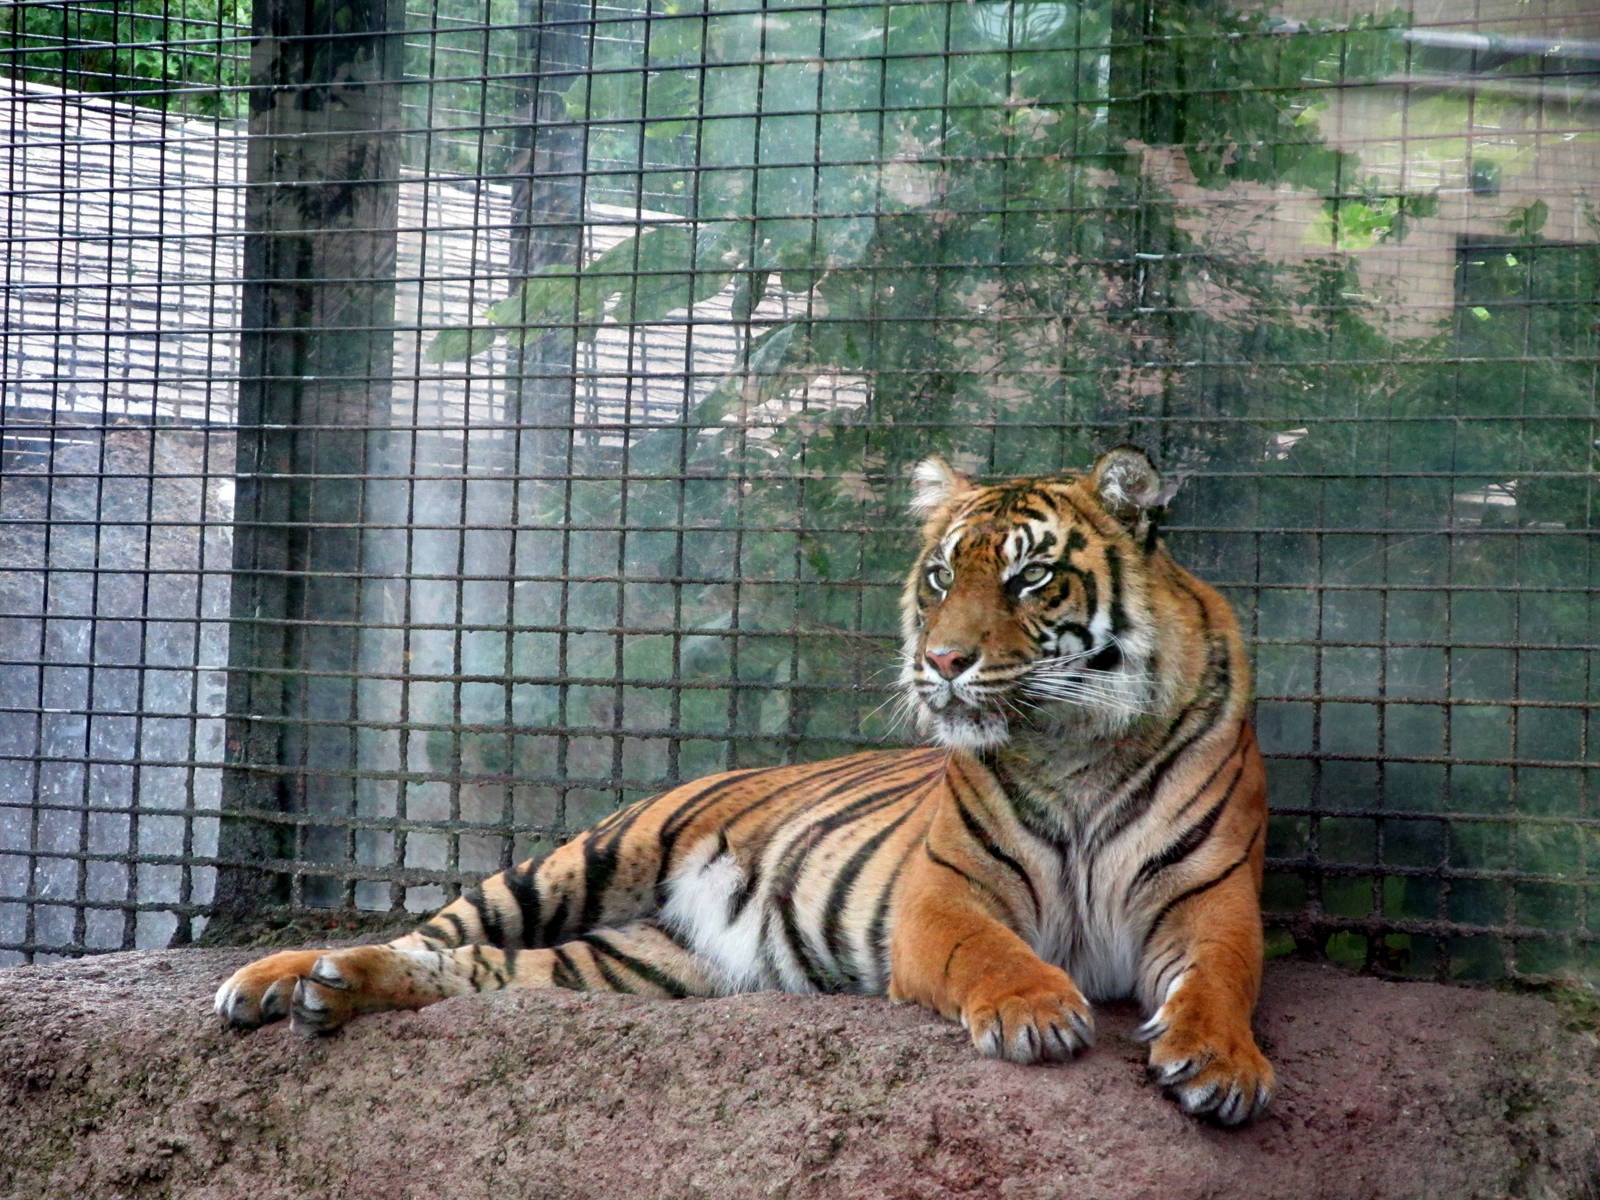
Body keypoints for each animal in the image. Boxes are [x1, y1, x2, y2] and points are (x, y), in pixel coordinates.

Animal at [215, 446, 1273, 1125]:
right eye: (939, 578)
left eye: (1029, 579)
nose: (942, 661)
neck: (1074, 746)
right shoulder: (943, 897)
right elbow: (990, 952)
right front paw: (1036, 1010)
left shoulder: (1212, 900)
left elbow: (1222, 978)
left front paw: (1223, 1066)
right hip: (583, 857)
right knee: (434, 933)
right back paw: (276, 981)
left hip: (633, 966)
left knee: (473, 974)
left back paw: (329, 988)